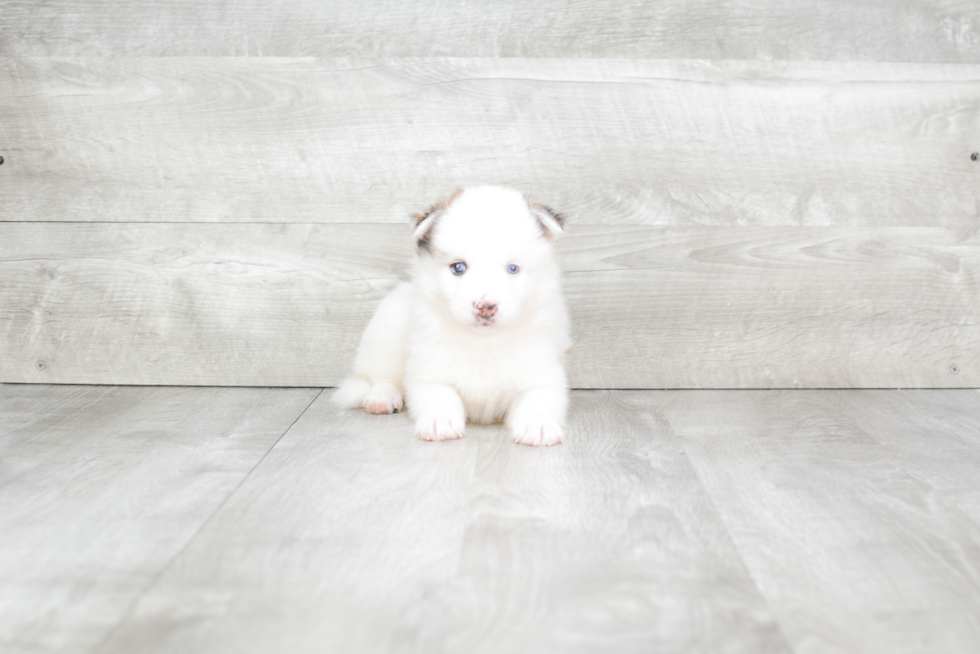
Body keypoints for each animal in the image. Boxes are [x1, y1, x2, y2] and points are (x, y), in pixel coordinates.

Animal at [334, 187, 572, 448]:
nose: (485, 306)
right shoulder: (428, 372)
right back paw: (381, 398)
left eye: (513, 269)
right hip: (387, 325)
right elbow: (441, 394)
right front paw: (440, 421)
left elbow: (539, 397)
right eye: (458, 267)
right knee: (381, 376)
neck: (483, 343)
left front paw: (538, 425)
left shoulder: (543, 372)